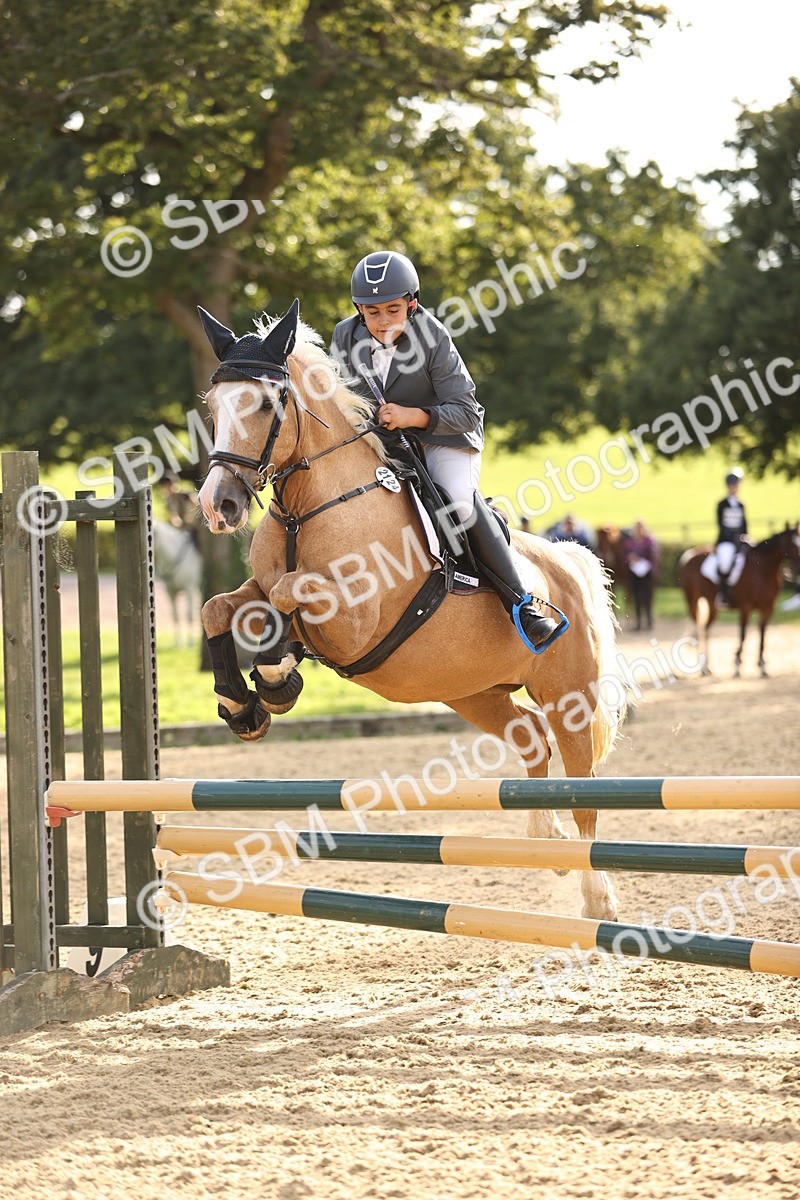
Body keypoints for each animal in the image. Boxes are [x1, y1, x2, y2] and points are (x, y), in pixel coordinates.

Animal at [196, 300, 628, 920]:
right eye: (213, 406)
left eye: (265, 403)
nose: (218, 505)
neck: (311, 505)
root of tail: (570, 560)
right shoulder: (263, 586)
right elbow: (220, 608)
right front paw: (242, 704)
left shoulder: (353, 618)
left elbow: (287, 599)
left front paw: (276, 678)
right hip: (473, 691)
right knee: (531, 737)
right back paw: (545, 841)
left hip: (570, 696)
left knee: (583, 791)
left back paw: (597, 899)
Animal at [678, 526, 800, 677]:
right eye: (793, 544)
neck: (762, 569)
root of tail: (690, 554)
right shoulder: (746, 608)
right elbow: (743, 634)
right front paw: (737, 664)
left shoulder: (767, 608)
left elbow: (762, 634)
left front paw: (762, 666)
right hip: (693, 600)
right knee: (696, 627)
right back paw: (699, 667)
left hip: (711, 605)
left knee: (705, 629)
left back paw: (707, 667)